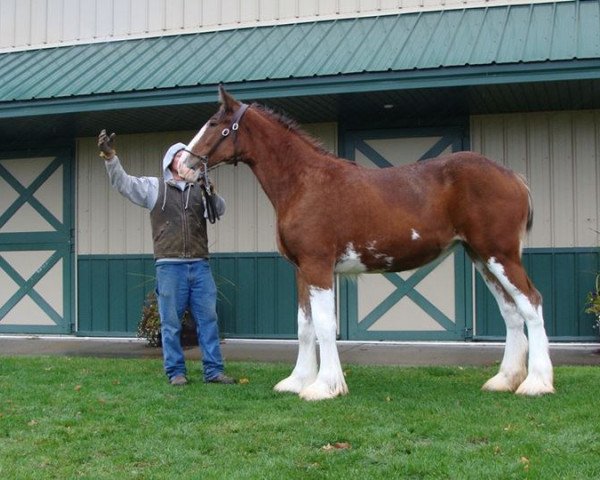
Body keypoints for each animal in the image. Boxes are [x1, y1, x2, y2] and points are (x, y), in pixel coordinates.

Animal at [177, 86, 552, 402]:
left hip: (499, 255)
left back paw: (536, 383)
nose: (182, 165)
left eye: (214, 124)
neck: (304, 183)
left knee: (531, 304)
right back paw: (504, 380)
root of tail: (513, 176)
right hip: (481, 257)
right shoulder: (302, 270)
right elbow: (304, 327)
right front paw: (298, 381)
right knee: (511, 312)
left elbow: (324, 326)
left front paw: (325, 387)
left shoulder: (318, 266)